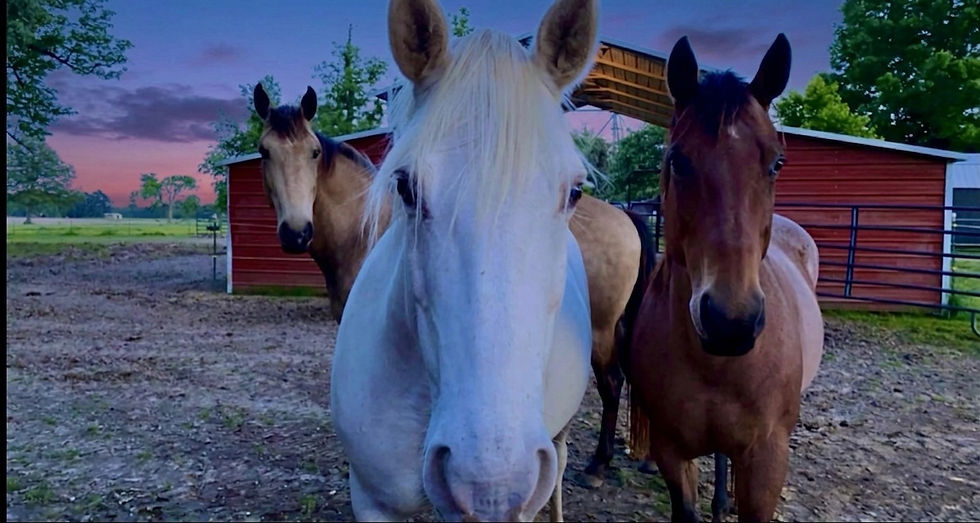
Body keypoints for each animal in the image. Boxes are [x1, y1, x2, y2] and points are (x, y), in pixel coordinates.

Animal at [253, 50, 654, 497]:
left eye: (312, 153)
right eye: (264, 151)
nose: (296, 232)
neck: (365, 229)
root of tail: (625, 215)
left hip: (602, 332)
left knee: (612, 383)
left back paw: (598, 465)